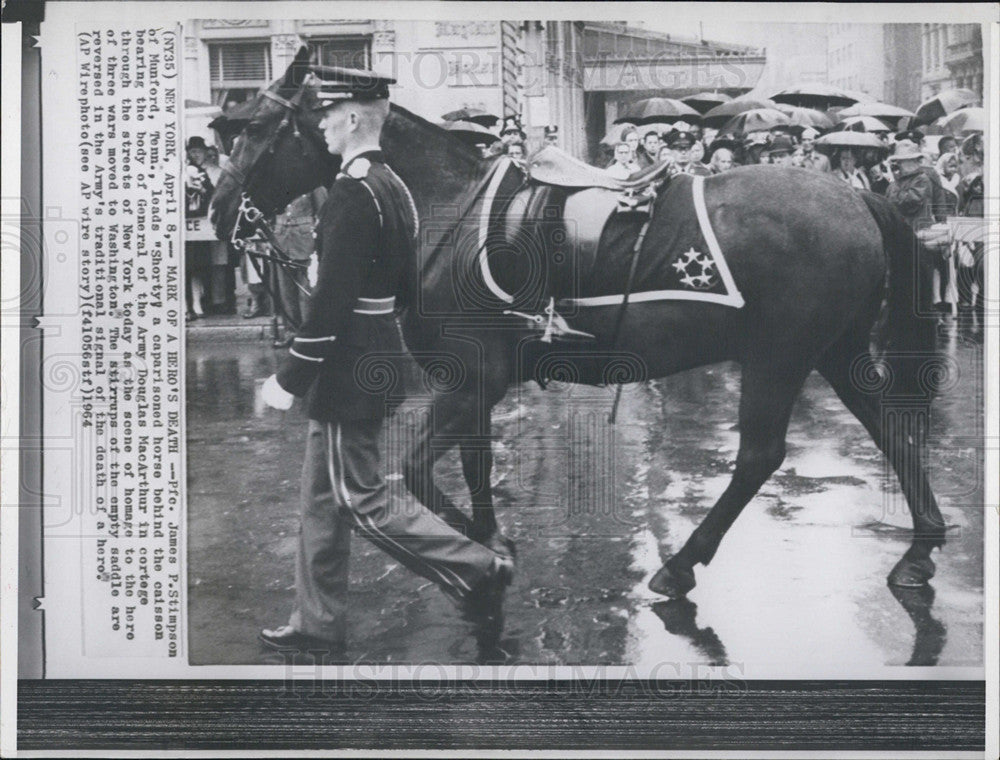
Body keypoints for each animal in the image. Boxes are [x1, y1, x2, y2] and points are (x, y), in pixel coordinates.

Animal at [209, 52, 944, 600]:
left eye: (254, 127)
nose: (218, 210)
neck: (449, 211)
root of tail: (854, 197)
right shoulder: (473, 385)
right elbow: (474, 465)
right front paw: (489, 539)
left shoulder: (471, 380)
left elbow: (416, 473)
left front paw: (483, 552)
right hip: (836, 351)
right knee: (893, 430)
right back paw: (920, 550)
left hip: (779, 358)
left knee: (760, 457)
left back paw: (680, 566)